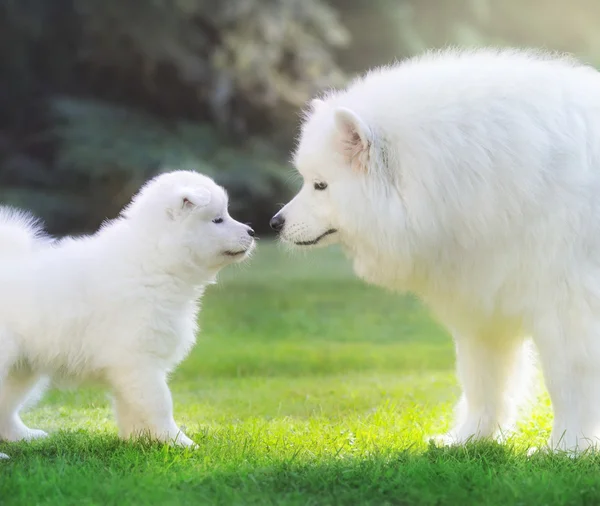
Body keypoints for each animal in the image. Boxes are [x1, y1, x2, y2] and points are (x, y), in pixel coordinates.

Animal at [0, 170, 255, 458]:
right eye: (217, 219)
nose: (252, 231)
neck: (156, 260)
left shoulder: (131, 365)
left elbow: (131, 406)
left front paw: (139, 442)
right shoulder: (138, 360)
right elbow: (159, 403)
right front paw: (179, 442)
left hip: (21, 368)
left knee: (6, 407)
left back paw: (24, 436)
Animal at [270, 46, 600, 450]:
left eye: (321, 185)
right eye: (307, 181)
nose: (275, 223)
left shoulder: (568, 309)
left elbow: (568, 383)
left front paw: (568, 448)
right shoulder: (485, 305)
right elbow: (482, 379)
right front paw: (470, 438)